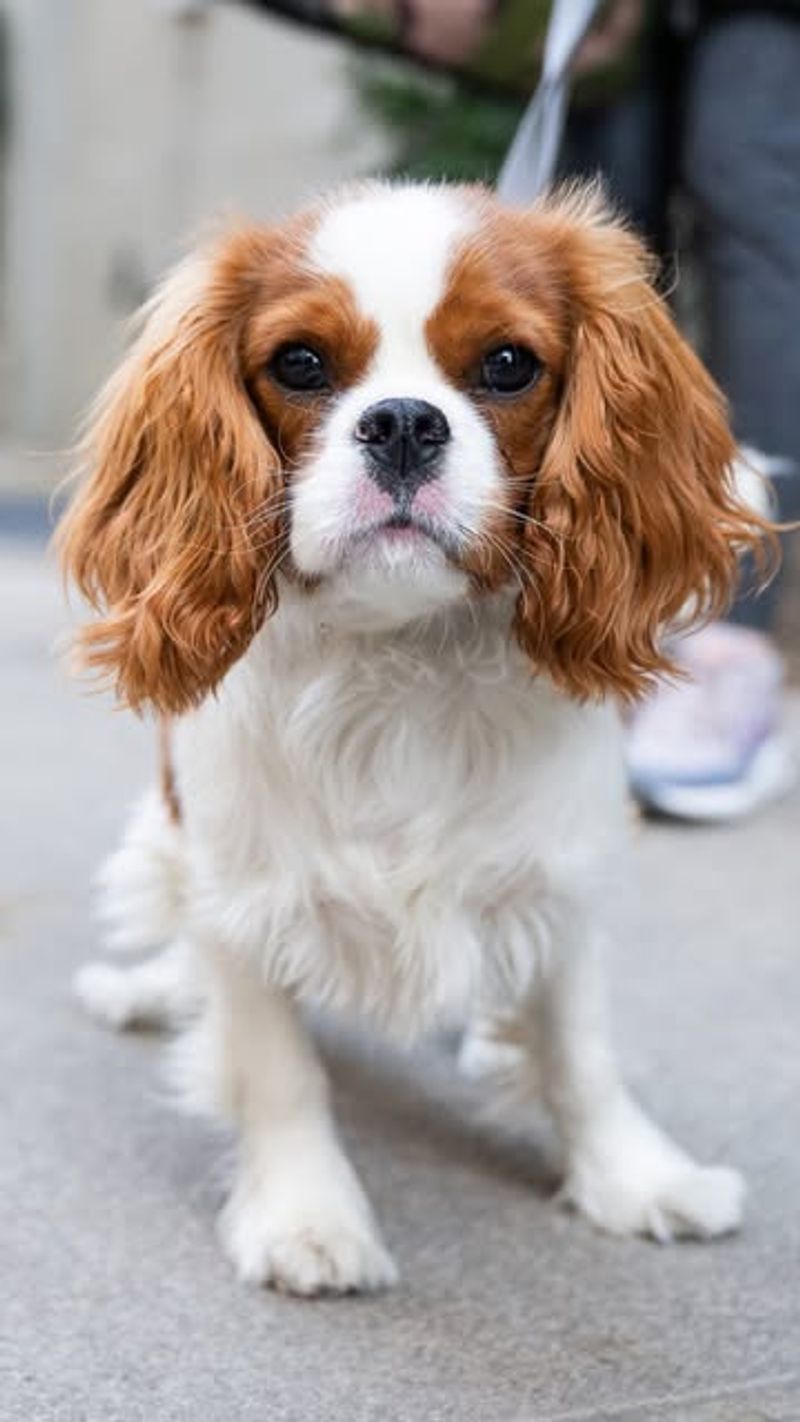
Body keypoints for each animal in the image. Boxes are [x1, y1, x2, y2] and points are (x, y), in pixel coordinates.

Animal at [57, 177, 767, 1291]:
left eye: (508, 364)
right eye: (300, 364)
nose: (399, 423)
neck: (403, 657)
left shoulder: (560, 872)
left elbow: (579, 1048)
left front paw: (633, 1176)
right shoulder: (240, 890)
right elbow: (274, 1065)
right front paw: (307, 1216)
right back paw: (148, 991)